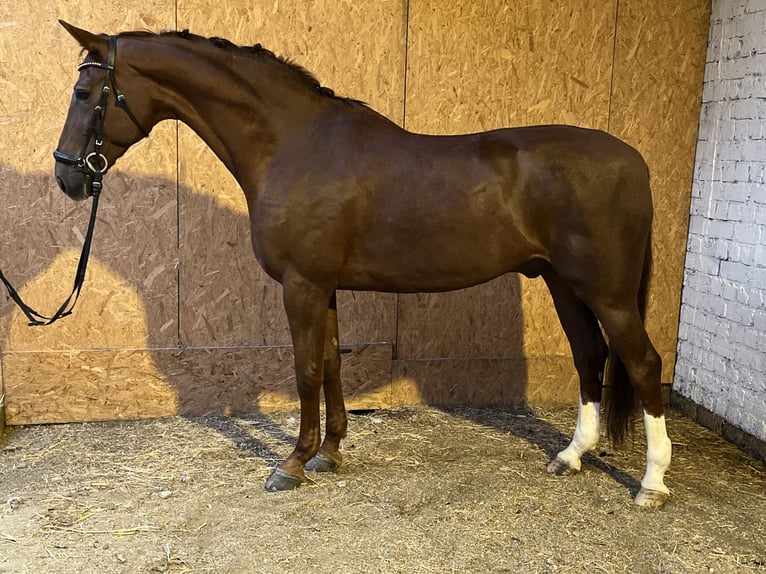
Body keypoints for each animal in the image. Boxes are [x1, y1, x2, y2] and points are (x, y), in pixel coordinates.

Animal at [54, 21, 676, 508]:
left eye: (85, 92)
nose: (67, 176)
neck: (295, 145)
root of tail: (635, 161)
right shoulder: (324, 287)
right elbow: (332, 363)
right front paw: (329, 454)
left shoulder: (302, 286)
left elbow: (307, 369)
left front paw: (292, 464)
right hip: (563, 284)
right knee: (589, 355)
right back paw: (570, 456)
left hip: (608, 293)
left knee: (644, 363)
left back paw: (651, 483)